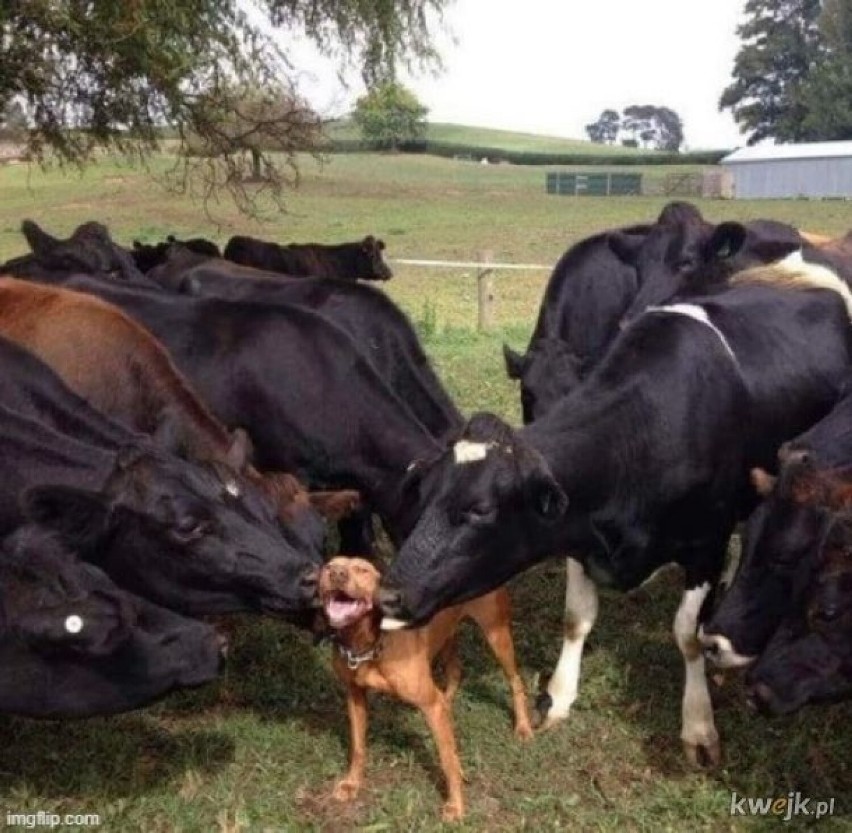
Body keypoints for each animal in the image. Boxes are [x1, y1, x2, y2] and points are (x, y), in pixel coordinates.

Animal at [320, 556, 532, 824]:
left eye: (363, 570)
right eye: (329, 566)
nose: (336, 574)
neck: (368, 643)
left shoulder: (429, 703)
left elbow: (447, 760)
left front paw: (456, 806)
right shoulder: (355, 695)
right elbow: (358, 747)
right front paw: (351, 784)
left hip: (496, 634)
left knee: (515, 680)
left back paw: (523, 727)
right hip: (447, 635)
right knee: (455, 673)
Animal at [382, 268, 852, 768]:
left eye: (479, 510)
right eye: (427, 493)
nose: (388, 595)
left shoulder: (708, 542)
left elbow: (688, 635)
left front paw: (698, 724)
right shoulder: (578, 536)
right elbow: (576, 617)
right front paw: (559, 696)